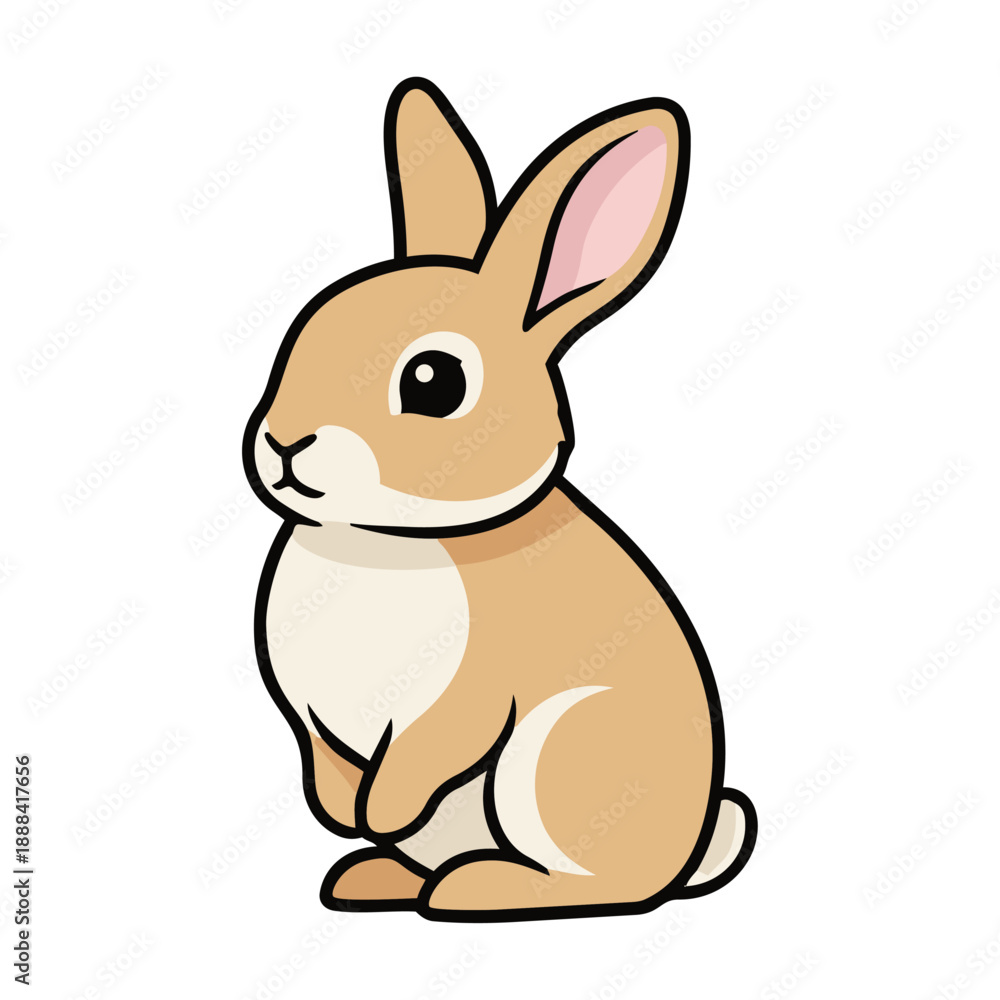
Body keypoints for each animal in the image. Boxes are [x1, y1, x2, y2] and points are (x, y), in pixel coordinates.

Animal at [243, 77, 756, 921]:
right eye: (306, 330)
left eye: (434, 381)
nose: (284, 446)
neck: (383, 538)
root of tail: (689, 852)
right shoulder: (310, 720)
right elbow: (326, 763)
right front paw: (344, 816)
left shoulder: (472, 700)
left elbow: (424, 756)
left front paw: (375, 811)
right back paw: (377, 878)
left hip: (553, 760)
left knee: (601, 886)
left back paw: (474, 889)